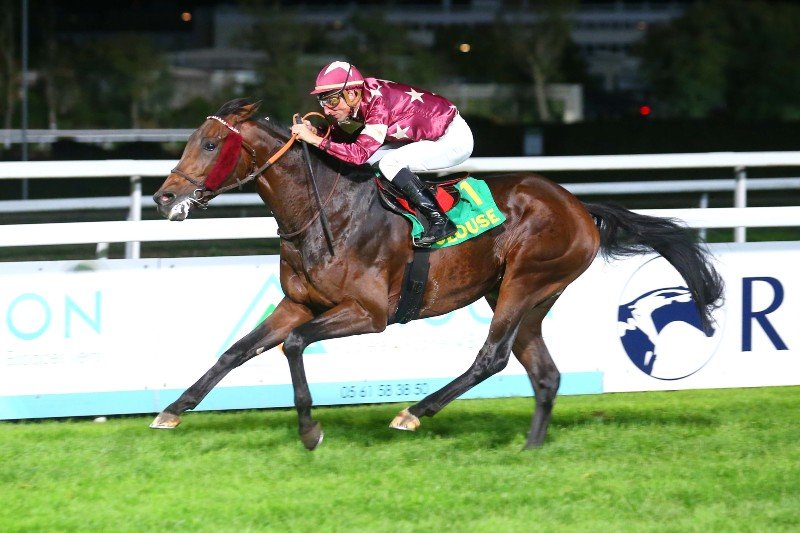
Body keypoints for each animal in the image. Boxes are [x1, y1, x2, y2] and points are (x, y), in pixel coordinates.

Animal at [151, 98, 724, 450]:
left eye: (209, 144)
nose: (164, 196)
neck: (325, 210)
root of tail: (581, 207)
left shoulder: (369, 312)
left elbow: (293, 346)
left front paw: (310, 430)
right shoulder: (299, 304)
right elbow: (237, 350)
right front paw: (173, 410)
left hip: (525, 282)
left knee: (492, 357)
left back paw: (413, 411)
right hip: (526, 296)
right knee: (544, 373)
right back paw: (531, 447)